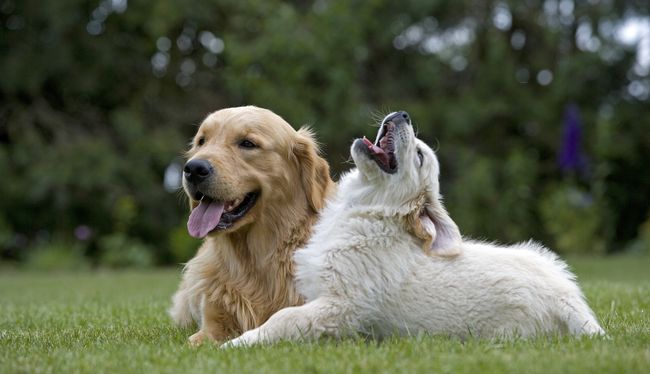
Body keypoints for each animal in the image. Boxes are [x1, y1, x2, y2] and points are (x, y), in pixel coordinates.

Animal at [223, 112, 604, 348]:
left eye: (419, 156)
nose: (403, 114)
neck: (369, 211)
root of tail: (571, 304)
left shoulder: (339, 306)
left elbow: (283, 319)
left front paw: (236, 344)